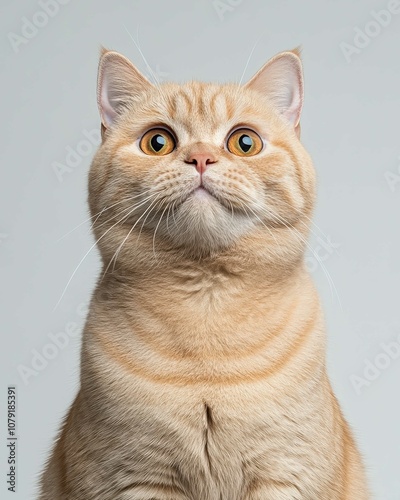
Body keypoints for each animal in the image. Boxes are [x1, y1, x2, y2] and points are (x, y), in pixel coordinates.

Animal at [39, 47, 370, 500]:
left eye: (245, 142)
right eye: (157, 142)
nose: (200, 157)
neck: (206, 302)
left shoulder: (285, 473)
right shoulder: (136, 477)